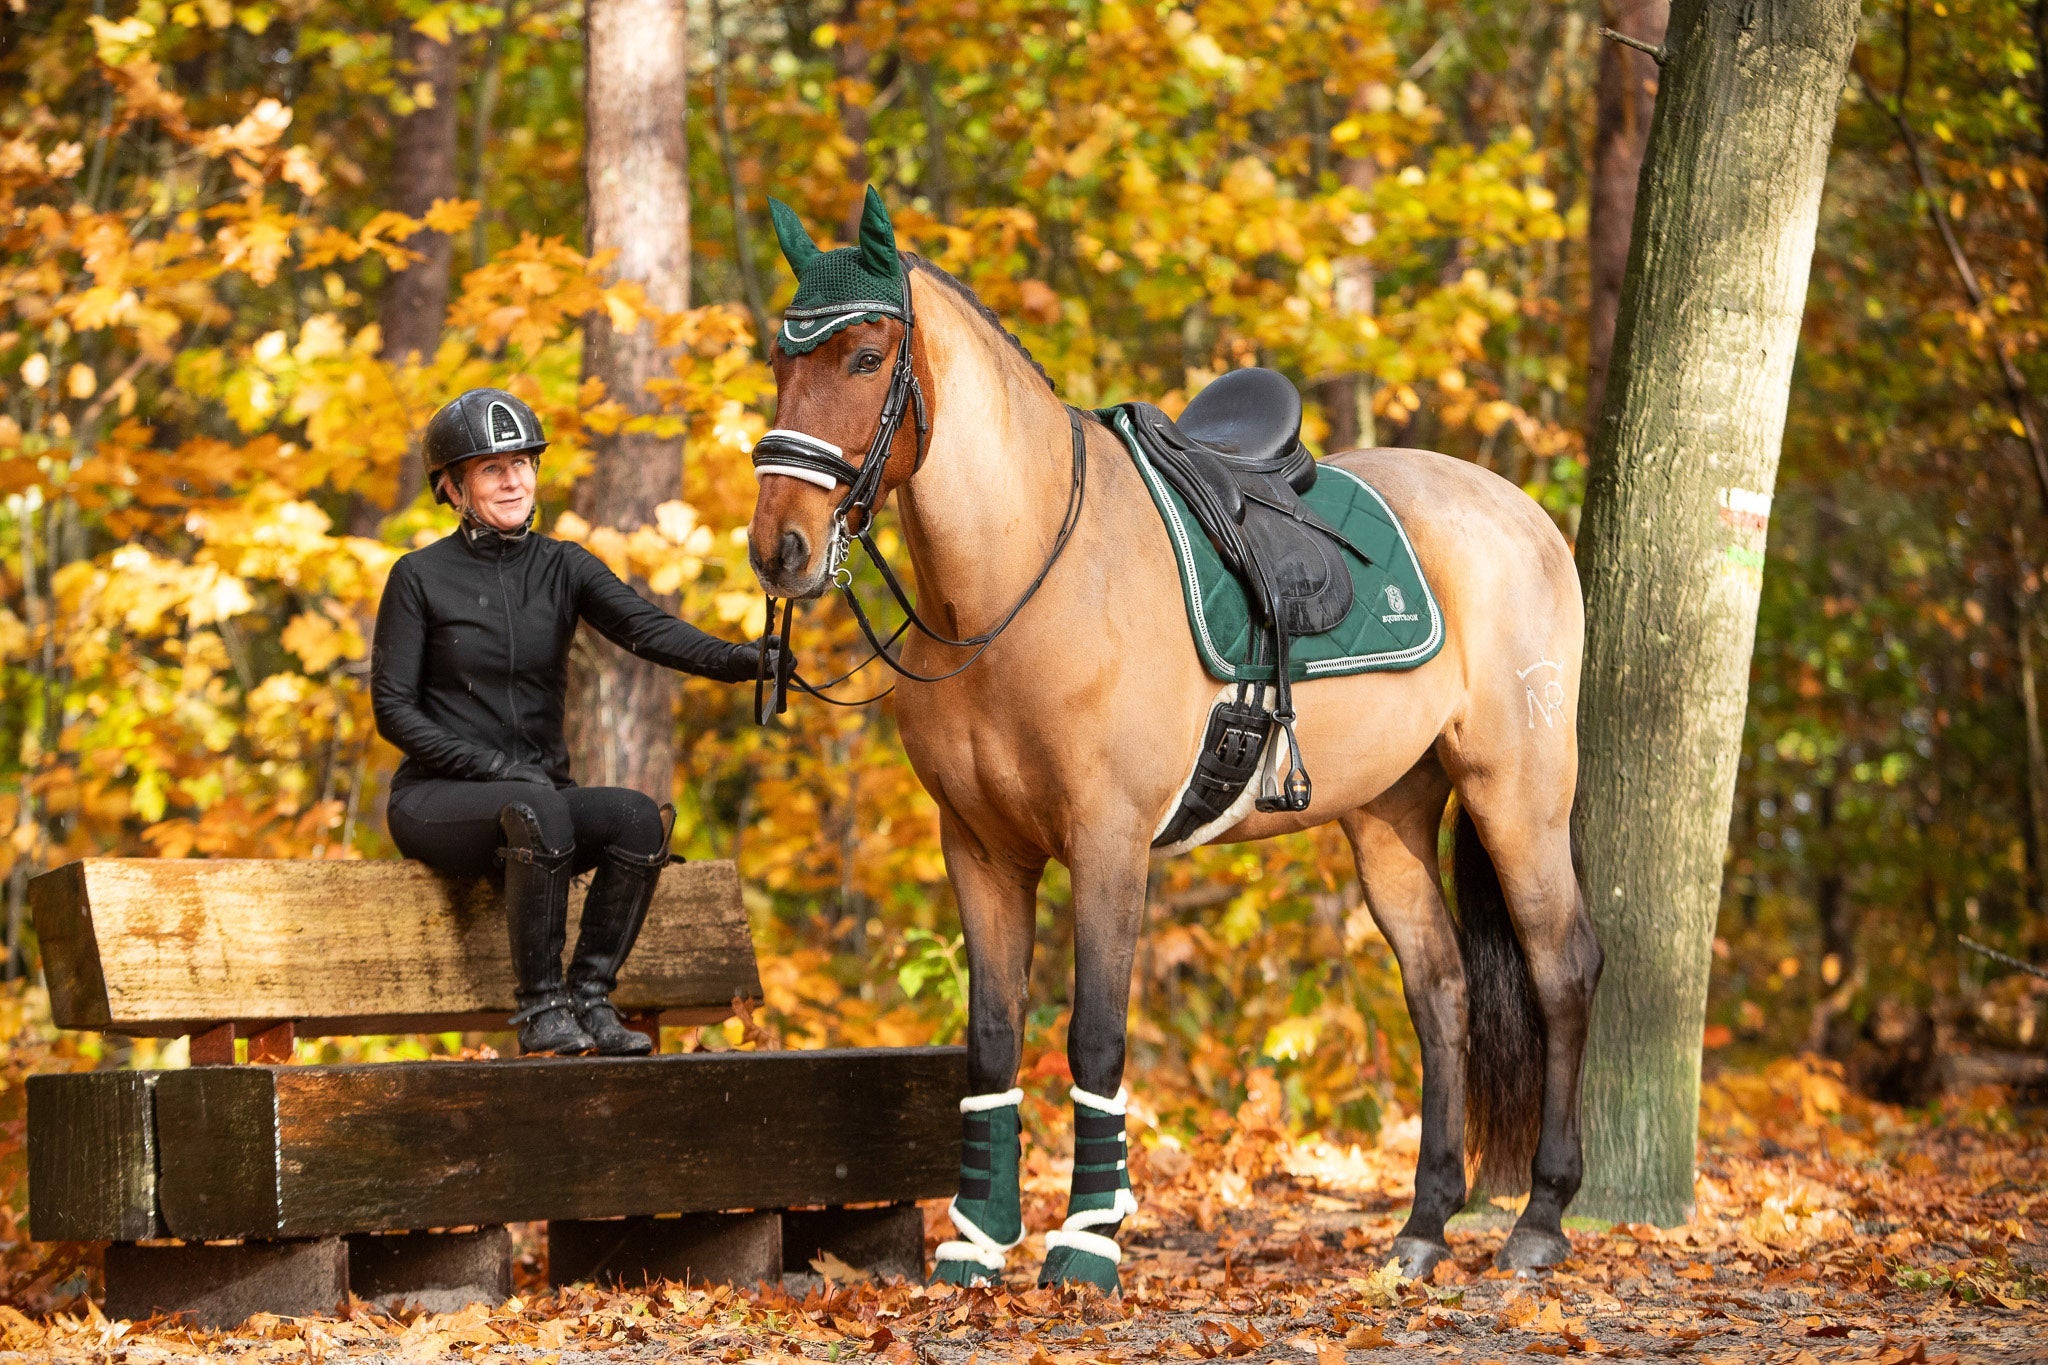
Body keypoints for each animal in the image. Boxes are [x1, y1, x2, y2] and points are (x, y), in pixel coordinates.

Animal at [746, 189, 1601, 1291]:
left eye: (862, 357)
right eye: (780, 357)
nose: (779, 548)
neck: (1025, 576)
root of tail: (1521, 513)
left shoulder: (1108, 843)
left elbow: (1096, 1037)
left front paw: (1085, 1244)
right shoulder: (979, 848)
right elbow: (992, 1038)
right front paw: (978, 1242)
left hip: (1516, 788)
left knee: (1561, 970)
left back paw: (1538, 1221)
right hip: (1389, 814)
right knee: (1440, 992)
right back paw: (1420, 1227)